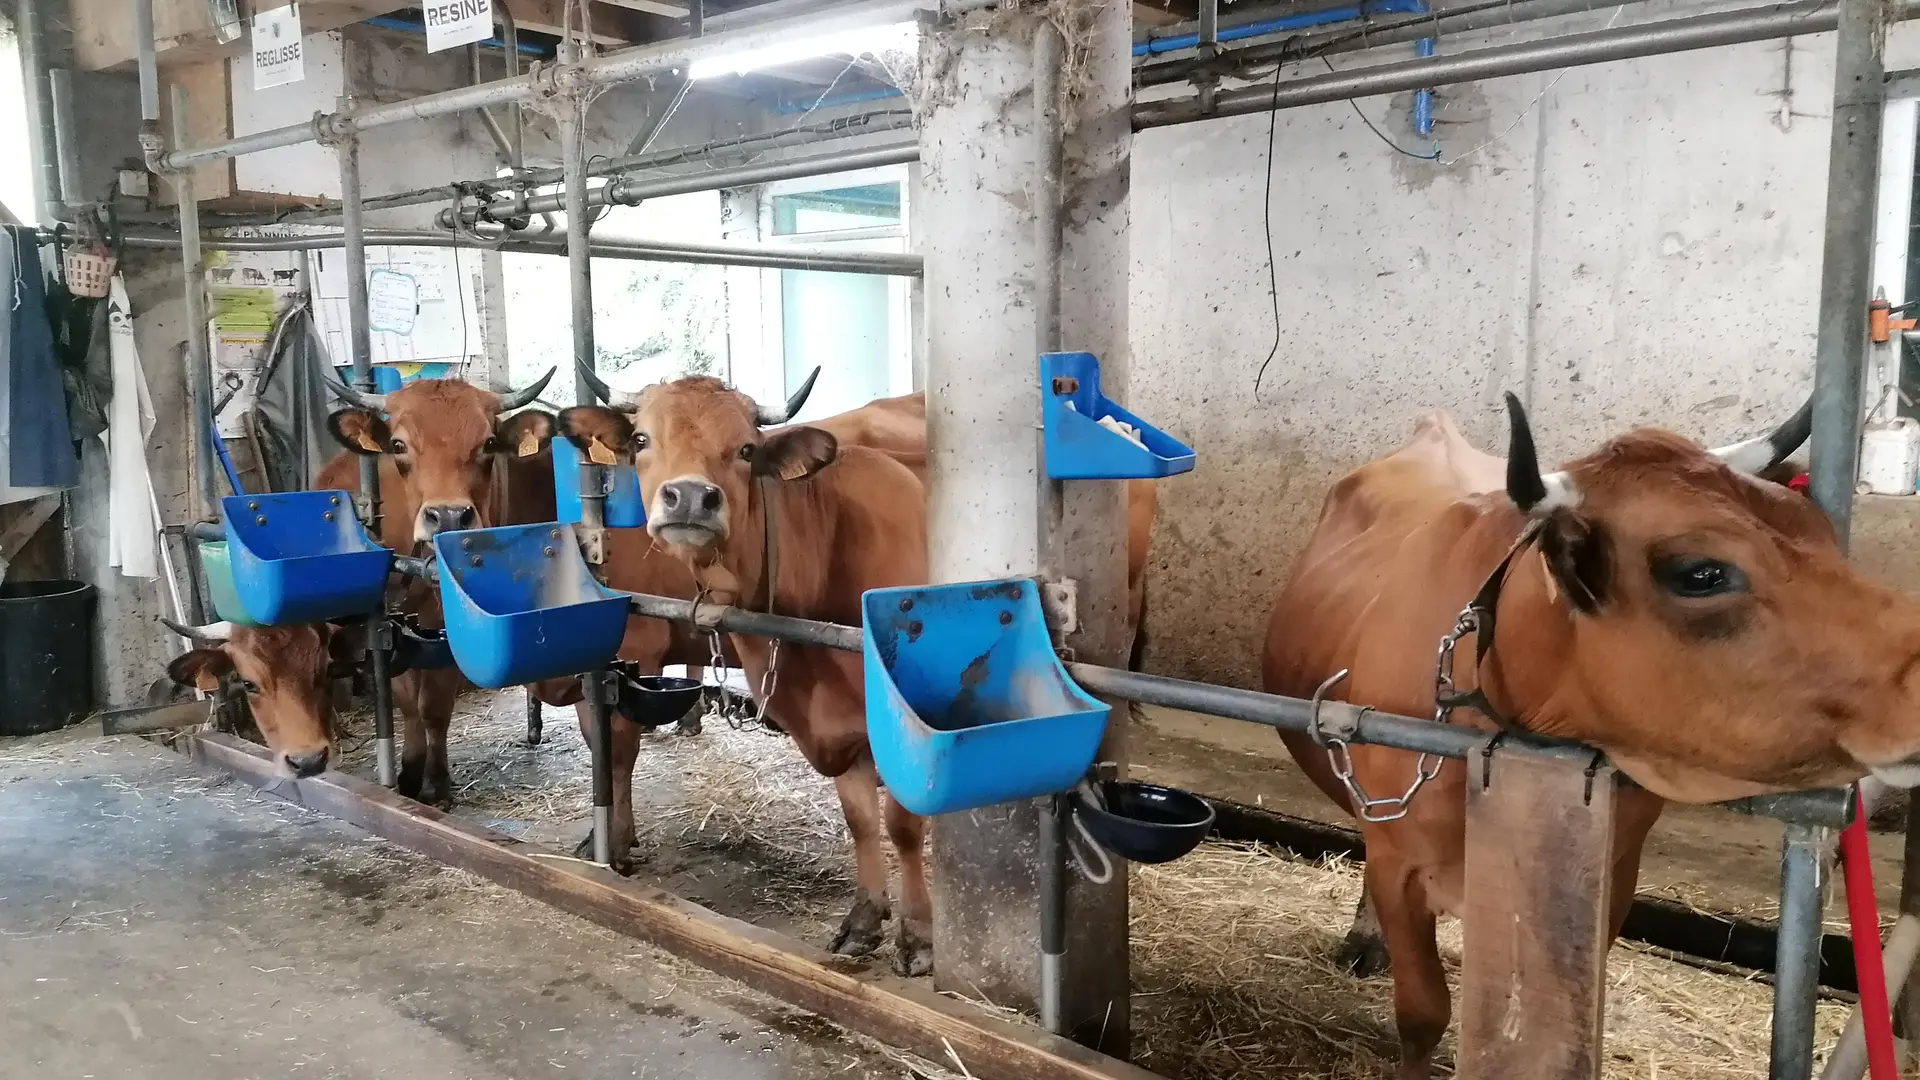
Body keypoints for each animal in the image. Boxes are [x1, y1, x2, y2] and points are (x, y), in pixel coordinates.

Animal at [558, 377, 936, 975]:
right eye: (641, 439)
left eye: (746, 449)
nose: (691, 497)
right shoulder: (834, 725)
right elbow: (859, 818)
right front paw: (863, 920)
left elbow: (901, 824)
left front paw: (917, 938)